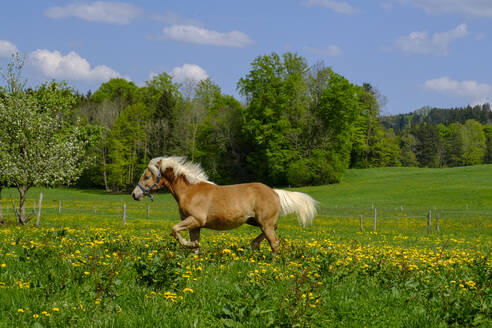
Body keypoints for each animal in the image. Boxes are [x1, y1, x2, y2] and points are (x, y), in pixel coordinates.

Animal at [131, 156, 318, 254]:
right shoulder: (195, 226)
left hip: (265, 223)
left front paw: (188, 245)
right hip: (258, 222)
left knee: (275, 243)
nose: (134, 194)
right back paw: (254, 246)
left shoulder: (196, 220)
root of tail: (274, 191)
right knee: (271, 233)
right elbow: (195, 246)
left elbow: (174, 230)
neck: (190, 191)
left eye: (146, 176)